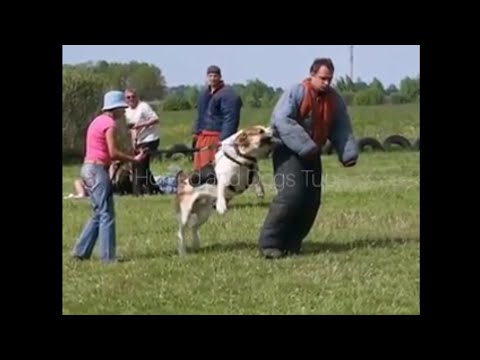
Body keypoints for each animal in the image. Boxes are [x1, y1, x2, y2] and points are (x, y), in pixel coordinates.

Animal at [173, 125, 278, 255]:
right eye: (260, 131)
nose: (273, 127)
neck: (242, 157)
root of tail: (183, 180)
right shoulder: (223, 178)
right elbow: (221, 189)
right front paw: (221, 206)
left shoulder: (252, 172)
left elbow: (257, 178)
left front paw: (260, 191)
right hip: (185, 213)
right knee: (181, 232)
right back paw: (183, 251)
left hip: (204, 214)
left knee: (194, 227)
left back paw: (196, 244)